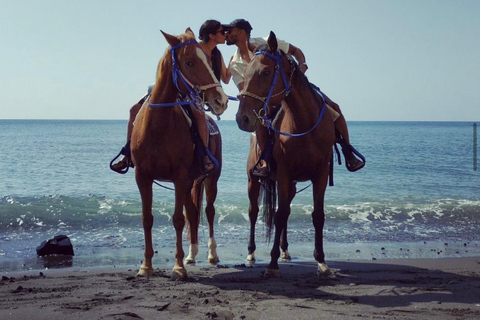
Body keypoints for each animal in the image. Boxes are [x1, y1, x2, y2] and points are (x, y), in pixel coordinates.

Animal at [131, 30, 229, 280]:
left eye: (208, 61)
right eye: (189, 62)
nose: (221, 100)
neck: (157, 126)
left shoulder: (179, 175)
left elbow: (177, 219)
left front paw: (177, 268)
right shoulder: (143, 176)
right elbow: (147, 219)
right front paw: (146, 266)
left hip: (210, 179)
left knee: (209, 211)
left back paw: (212, 254)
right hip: (189, 183)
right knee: (193, 213)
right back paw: (191, 255)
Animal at [235, 32, 334, 278]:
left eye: (266, 72)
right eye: (245, 74)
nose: (242, 118)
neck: (304, 124)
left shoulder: (320, 174)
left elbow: (317, 215)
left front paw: (321, 261)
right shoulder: (284, 174)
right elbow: (279, 215)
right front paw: (271, 265)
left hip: (291, 185)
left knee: (286, 212)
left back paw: (285, 250)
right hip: (254, 181)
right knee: (254, 212)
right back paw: (251, 254)